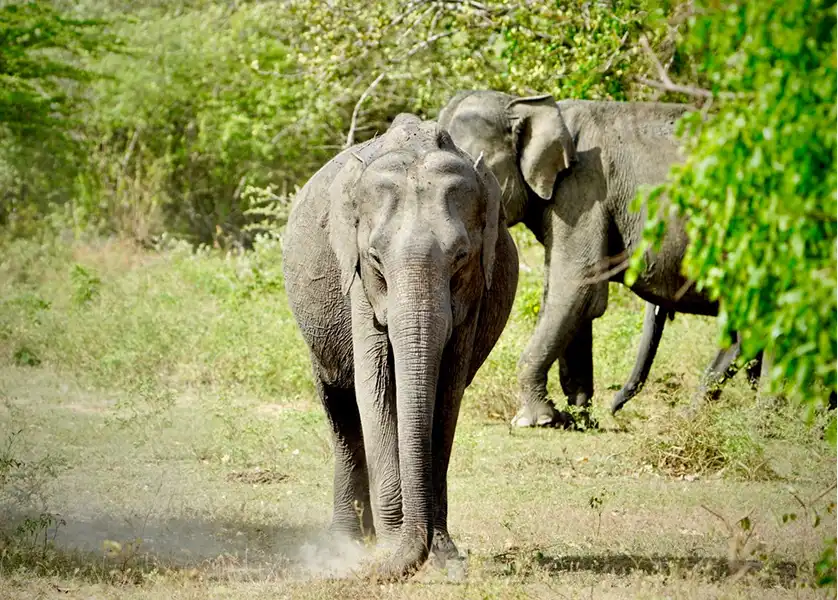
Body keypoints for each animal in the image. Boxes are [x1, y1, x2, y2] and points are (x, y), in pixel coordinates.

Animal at [282, 114, 518, 579]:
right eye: (375, 258)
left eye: (461, 257)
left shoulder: (474, 294)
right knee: (340, 408)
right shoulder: (357, 281)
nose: (419, 552)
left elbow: (447, 394)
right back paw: (349, 544)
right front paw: (392, 550)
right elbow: (373, 389)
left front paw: (446, 557)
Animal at [438, 90, 731, 428]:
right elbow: (569, 296)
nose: (613, 410)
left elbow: (577, 285)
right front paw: (576, 420)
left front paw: (536, 420)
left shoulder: (585, 189)